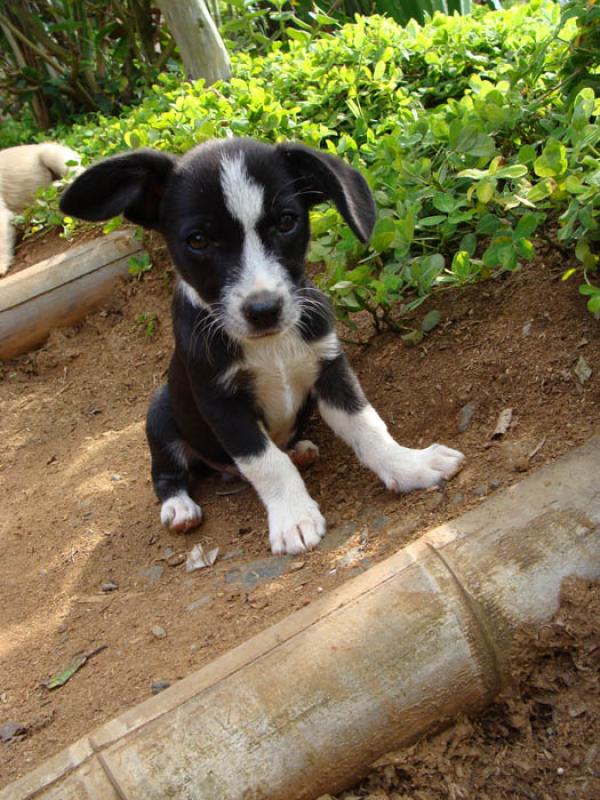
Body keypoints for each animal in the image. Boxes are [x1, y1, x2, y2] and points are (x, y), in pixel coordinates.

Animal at [59, 138, 464, 552]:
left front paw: (409, 466)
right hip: (159, 413)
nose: (264, 309)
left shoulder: (331, 368)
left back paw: (299, 451)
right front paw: (294, 518)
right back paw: (179, 507)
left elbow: (367, 425)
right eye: (198, 240)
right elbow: (267, 463)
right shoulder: (222, 405)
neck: (272, 348)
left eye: (286, 222)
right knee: (166, 472)